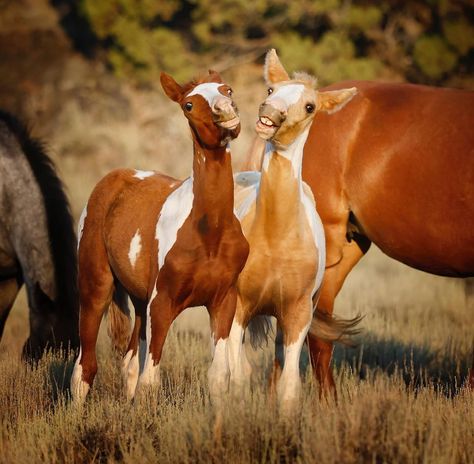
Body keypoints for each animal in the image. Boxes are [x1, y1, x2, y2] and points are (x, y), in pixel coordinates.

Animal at [71, 70, 250, 404]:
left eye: (228, 89)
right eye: (189, 105)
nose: (226, 112)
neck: (209, 234)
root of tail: (112, 178)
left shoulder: (223, 302)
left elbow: (219, 377)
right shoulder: (162, 304)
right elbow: (150, 382)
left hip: (140, 300)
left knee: (128, 362)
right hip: (95, 289)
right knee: (85, 368)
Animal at [230, 50, 356, 410]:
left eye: (310, 106)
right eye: (271, 90)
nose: (270, 114)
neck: (277, 237)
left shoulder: (299, 314)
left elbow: (290, 387)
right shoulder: (238, 306)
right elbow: (235, 376)